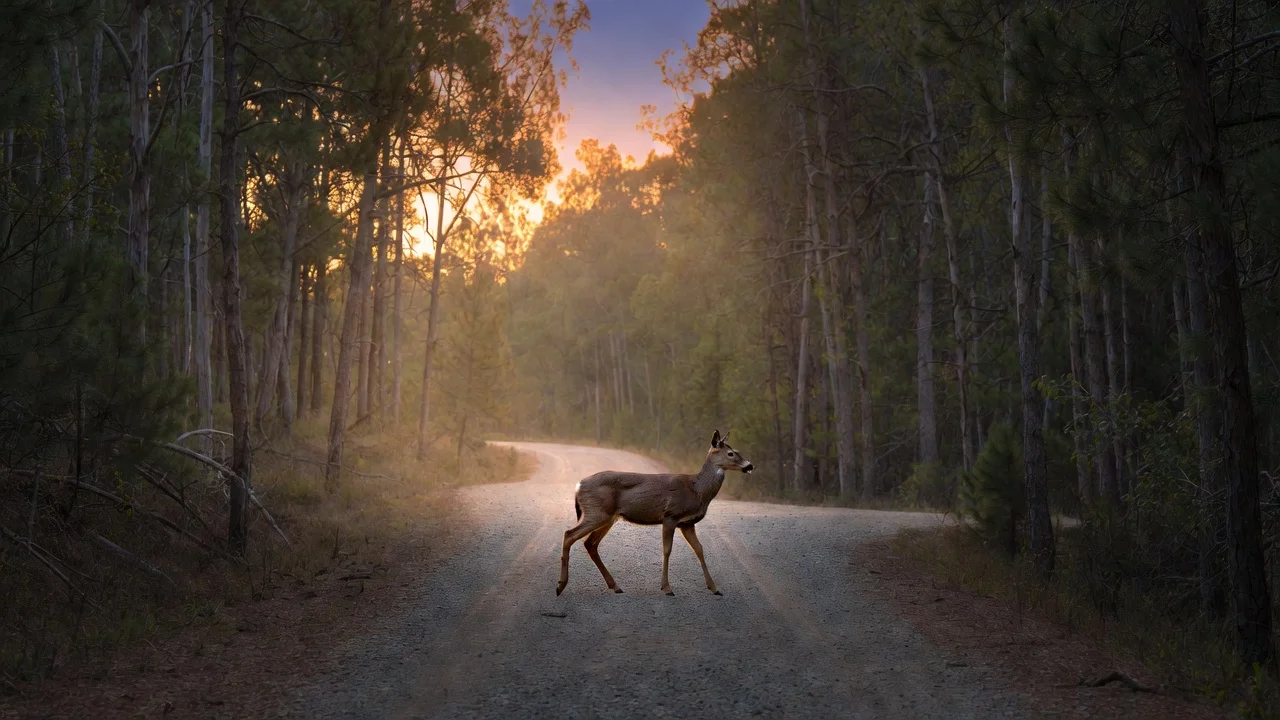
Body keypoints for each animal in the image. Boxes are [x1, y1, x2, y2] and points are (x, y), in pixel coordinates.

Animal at [556, 430, 753, 597]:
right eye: (731, 453)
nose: (749, 465)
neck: (697, 490)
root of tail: (578, 485)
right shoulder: (671, 515)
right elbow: (667, 550)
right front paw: (667, 588)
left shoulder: (687, 523)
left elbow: (699, 549)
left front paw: (714, 588)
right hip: (597, 512)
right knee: (569, 534)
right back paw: (560, 586)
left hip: (608, 517)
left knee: (590, 544)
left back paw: (615, 586)